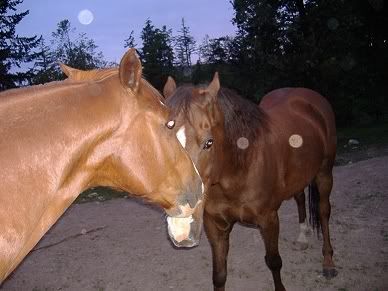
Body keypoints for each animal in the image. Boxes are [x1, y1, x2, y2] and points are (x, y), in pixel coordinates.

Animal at [163, 73, 336, 291]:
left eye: (209, 142)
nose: (181, 223)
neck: (239, 170)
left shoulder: (269, 220)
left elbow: (274, 261)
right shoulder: (216, 226)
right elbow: (219, 275)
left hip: (324, 173)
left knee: (323, 212)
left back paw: (328, 262)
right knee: (299, 198)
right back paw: (302, 237)